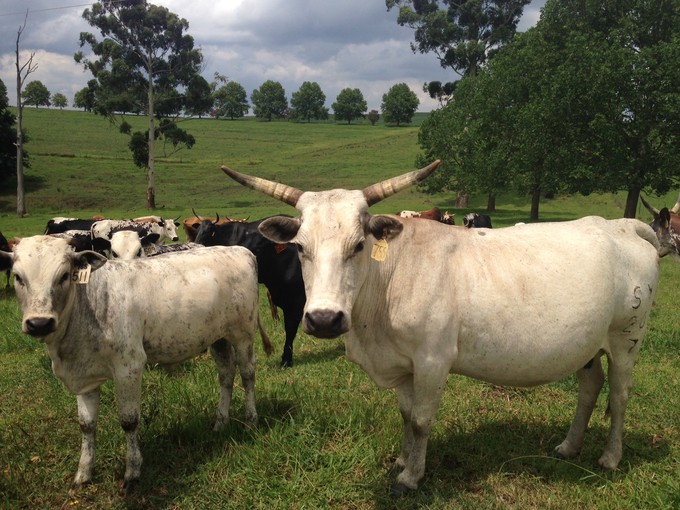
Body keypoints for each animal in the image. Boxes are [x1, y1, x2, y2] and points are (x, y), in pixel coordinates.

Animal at [0, 236, 266, 490]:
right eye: (18, 277)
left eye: (64, 275)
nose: (39, 323)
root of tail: (240, 250)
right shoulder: (85, 377)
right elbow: (86, 425)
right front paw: (83, 473)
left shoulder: (129, 367)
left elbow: (129, 421)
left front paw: (132, 473)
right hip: (218, 338)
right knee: (226, 375)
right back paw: (220, 423)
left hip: (243, 333)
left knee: (247, 375)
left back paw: (250, 421)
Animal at [220, 158, 660, 494]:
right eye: (299, 247)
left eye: (359, 245)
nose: (325, 319)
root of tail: (622, 225)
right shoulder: (403, 366)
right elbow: (405, 414)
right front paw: (402, 460)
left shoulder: (433, 360)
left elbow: (420, 420)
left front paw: (411, 478)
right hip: (589, 344)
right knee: (590, 387)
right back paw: (568, 447)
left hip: (627, 339)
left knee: (620, 395)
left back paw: (610, 457)